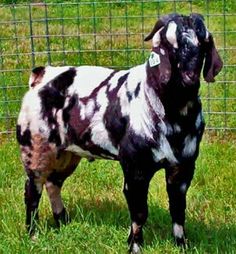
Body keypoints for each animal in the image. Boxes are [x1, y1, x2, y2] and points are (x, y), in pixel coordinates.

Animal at [17, 13, 223, 252]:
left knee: (53, 184)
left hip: (67, 154)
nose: (190, 77)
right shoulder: (135, 170)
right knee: (32, 190)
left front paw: (182, 245)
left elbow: (178, 210)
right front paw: (134, 247)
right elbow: (140, 213)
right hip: (36, 148)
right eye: (168, 44)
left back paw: (63, 222)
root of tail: (42, 75)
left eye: (204, 42)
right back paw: (33, 234)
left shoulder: (183, 167)